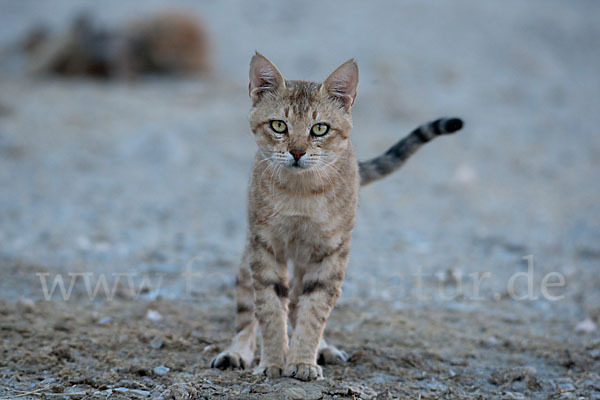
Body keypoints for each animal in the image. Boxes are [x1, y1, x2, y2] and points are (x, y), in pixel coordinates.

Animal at [211, 53, 464, 382]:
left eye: (319, 129)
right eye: (279, 125)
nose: (297, 152)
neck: (301, 194)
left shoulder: (331, 251)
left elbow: (314, 310)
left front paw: (302, 361)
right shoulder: (265, 245)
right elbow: (269, 308)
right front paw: (273, 363)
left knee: (299, 301)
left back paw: (322, 348)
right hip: (252, 254)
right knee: (249, 309)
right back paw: (238, 351)